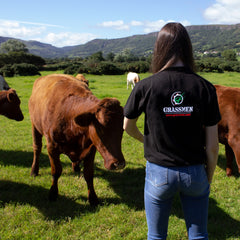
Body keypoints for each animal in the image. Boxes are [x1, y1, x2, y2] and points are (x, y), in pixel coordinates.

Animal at [28, 73, 125, 204]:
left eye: (122, 129)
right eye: (100, 128)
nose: (118, 164)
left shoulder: (91, 148)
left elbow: (88, 174)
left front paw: (93, 198)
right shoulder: (51, 147)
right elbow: (56, 171)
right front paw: (53, 193)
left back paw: (76, 166)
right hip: (34, 125)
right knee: (37, 148)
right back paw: (34, 170)